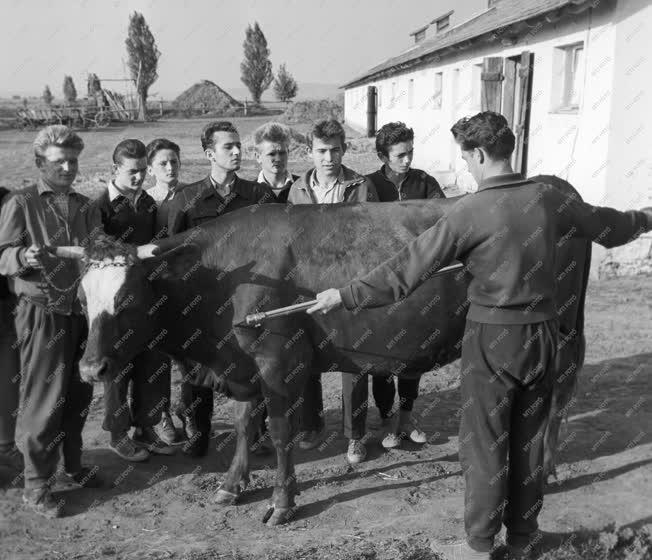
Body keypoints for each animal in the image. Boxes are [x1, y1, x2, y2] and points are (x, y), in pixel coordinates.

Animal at [56, 176, 592, 524]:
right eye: (82, 299)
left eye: (127, 299)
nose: (91, 367)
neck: (226, 277)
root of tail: (553, 187)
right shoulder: (245, 364)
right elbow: (247, 424)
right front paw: (232, 485)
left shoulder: (276, 360)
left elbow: (278, 429)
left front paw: (281, 502)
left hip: (563, 329)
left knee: (559, 395)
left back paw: (547, 469)